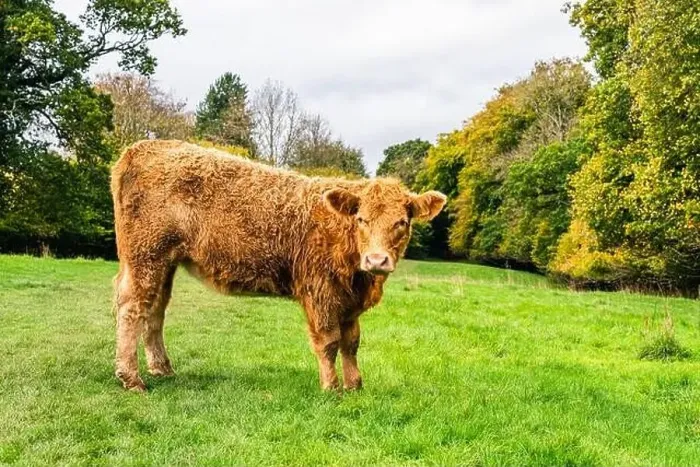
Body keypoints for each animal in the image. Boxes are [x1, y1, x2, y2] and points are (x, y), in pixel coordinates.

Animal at [111, 140, 446, 392]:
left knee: (155, 310)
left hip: (163, 262)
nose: (376, 260)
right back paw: (132, 378)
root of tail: (142, 147)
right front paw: (332, 388)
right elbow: (330, 342)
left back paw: (162, 368)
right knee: (133, 307)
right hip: (146, 256)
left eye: (401, 222)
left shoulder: (349, 302)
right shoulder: (320, 293)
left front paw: (355, 386)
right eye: (361, 219)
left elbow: (351, 343)